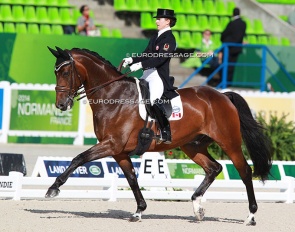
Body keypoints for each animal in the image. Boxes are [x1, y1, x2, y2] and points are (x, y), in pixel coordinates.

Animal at [46, 46, 272, 226]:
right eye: (55, 72)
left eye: (65, 71)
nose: (61, 104)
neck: (114, 96)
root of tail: (223, 96)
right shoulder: (119, 151)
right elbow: (131, 178)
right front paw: (139, 211)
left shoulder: (111, 144)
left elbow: (79, 158)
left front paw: (53, 188)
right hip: (192, 146)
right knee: (213, 168)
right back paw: (197, 207)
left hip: (229, 142)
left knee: (245, 172)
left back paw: (250, 216)